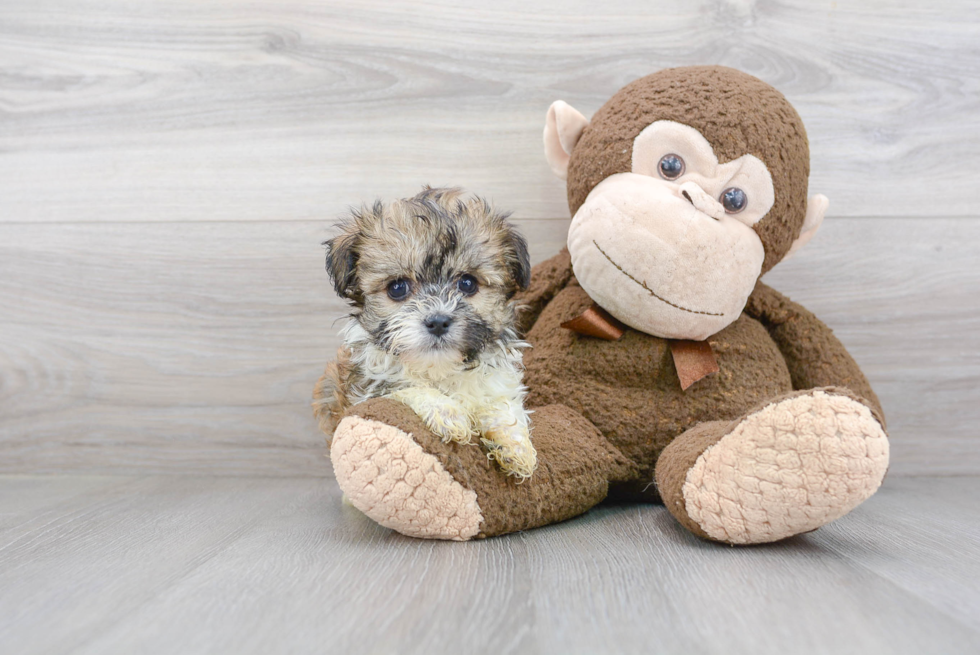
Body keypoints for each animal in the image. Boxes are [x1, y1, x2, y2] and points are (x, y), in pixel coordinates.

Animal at [314, 187, 536, 480]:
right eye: (397, 287)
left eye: (467, 283)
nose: (438, 322)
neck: (439, 368)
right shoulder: (366, 391)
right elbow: (407, 387)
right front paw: (448, 413)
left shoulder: (496, 380)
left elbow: (503, 403)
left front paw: (516, 446)